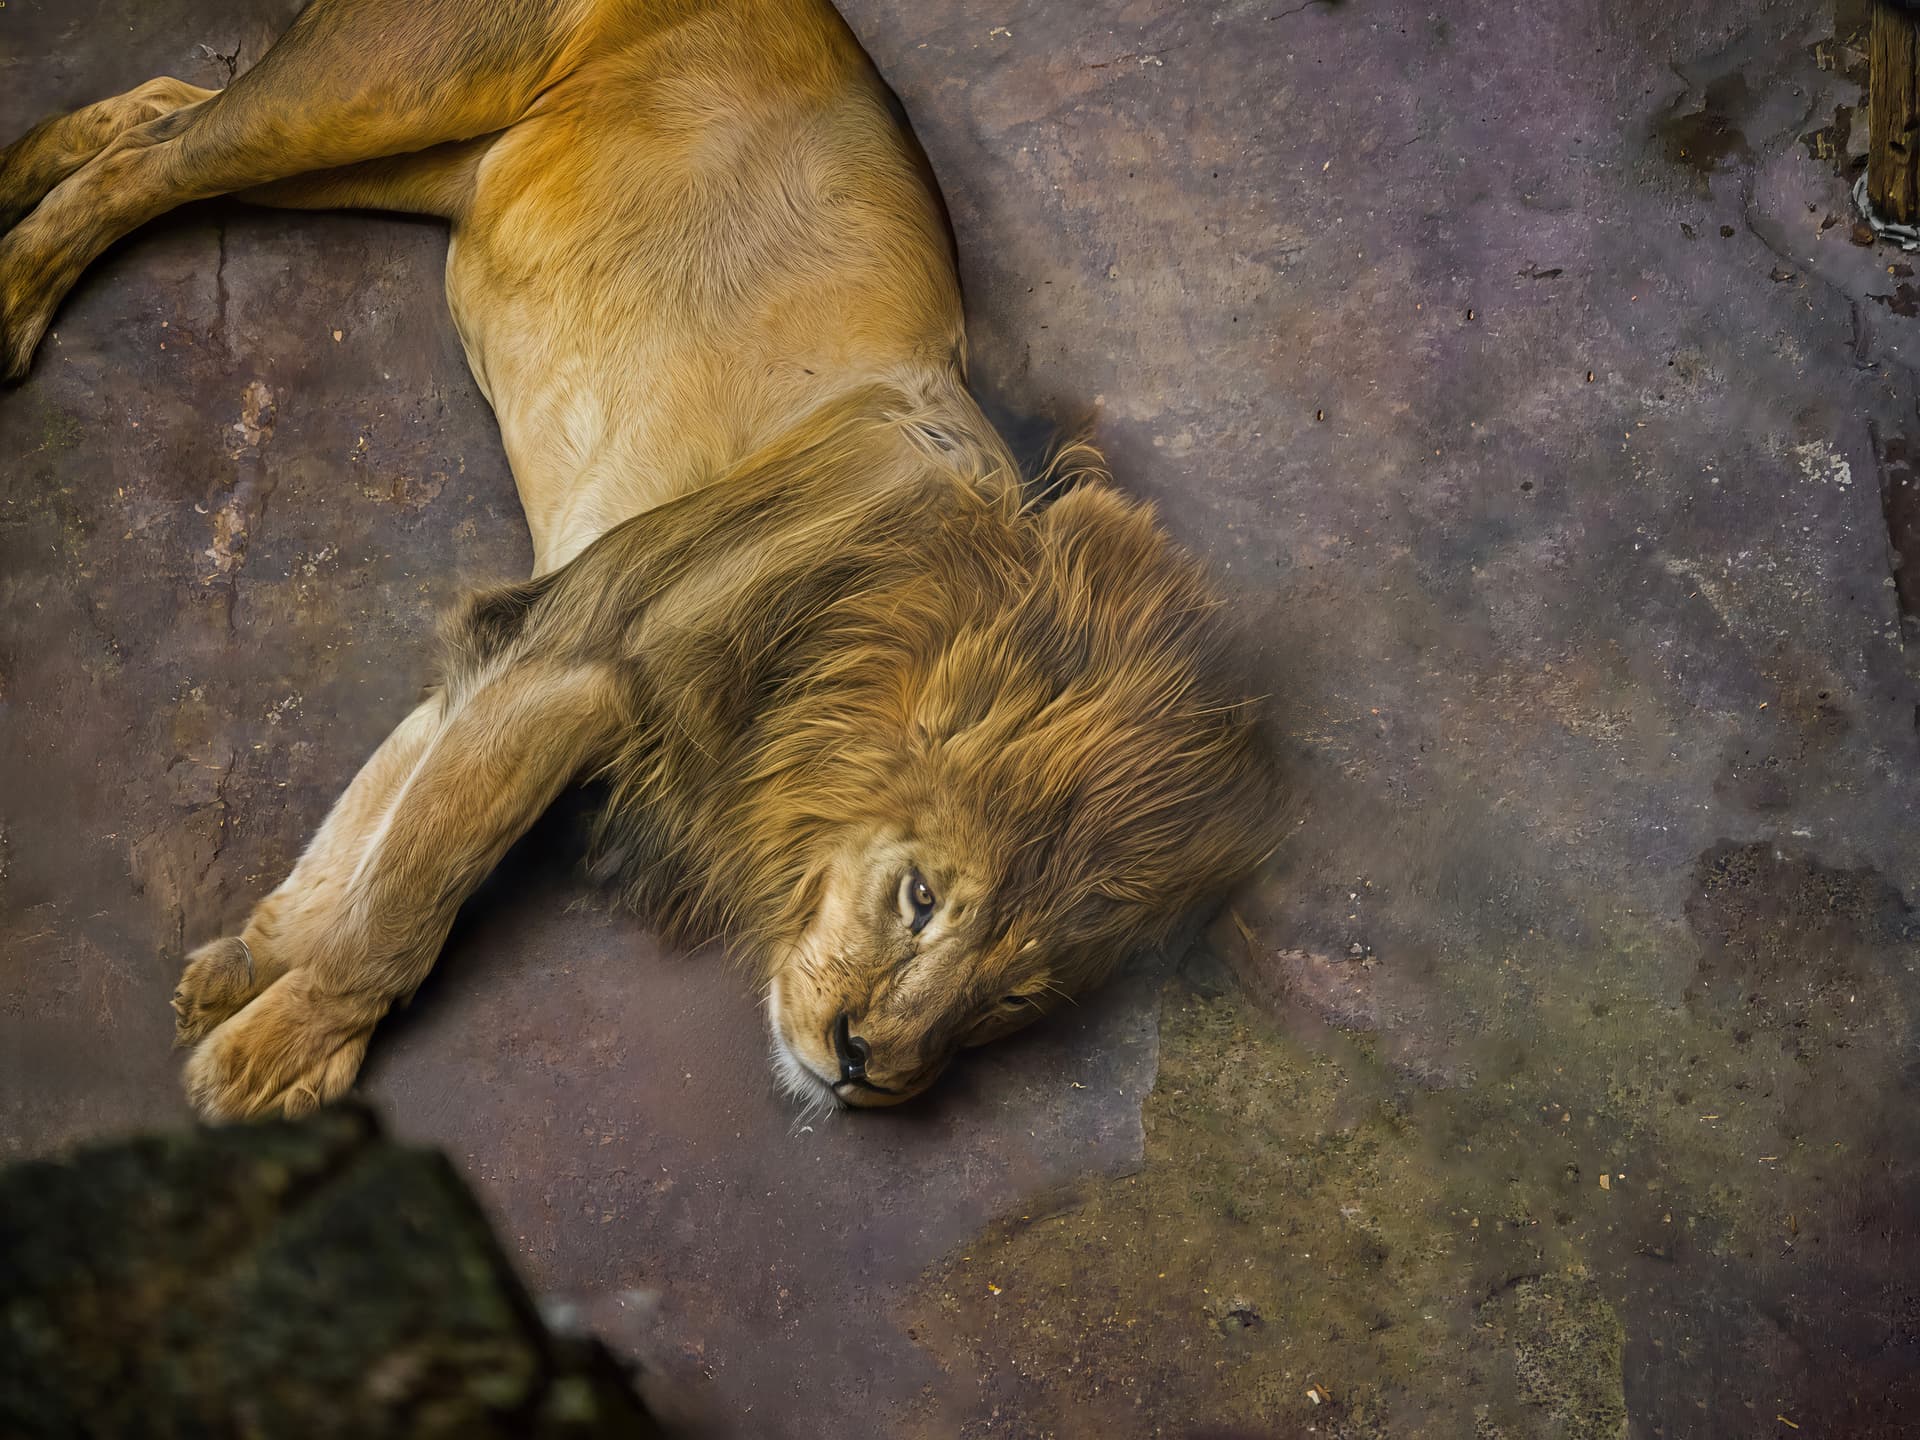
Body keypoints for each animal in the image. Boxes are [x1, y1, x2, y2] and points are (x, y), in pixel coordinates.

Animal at [0, 0, 1280, 1120]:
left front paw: (251, 964)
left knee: (162, 108)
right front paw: (279, 1056)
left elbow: (381, 820)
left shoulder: (537, 633)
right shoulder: (590, 652)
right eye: (921, 899)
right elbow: (411, 896)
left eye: (1013, 1001)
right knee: (157, 157)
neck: (884, 611)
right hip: (380, 92)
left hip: (416, 163)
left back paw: (22, 168)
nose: (867, 1068)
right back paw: (13, 293)